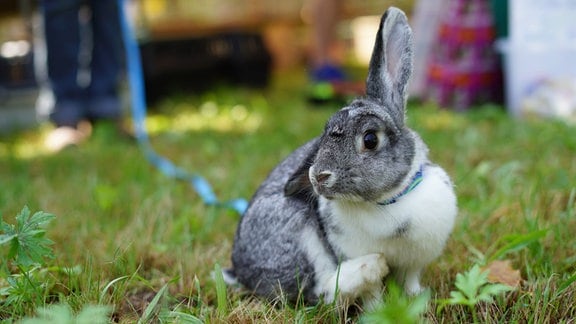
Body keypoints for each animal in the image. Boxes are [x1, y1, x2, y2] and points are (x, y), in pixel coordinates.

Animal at [223, 6, 456, 308]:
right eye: (324, 133)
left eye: (370, 139)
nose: (318, 176)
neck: (385, 202)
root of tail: (239, 271)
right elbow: (370, 293)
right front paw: (378, 309)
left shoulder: (414, 263)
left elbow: (411, 281)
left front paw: (418, 301)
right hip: (293, 229)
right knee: (318, 288)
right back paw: (369, 266)